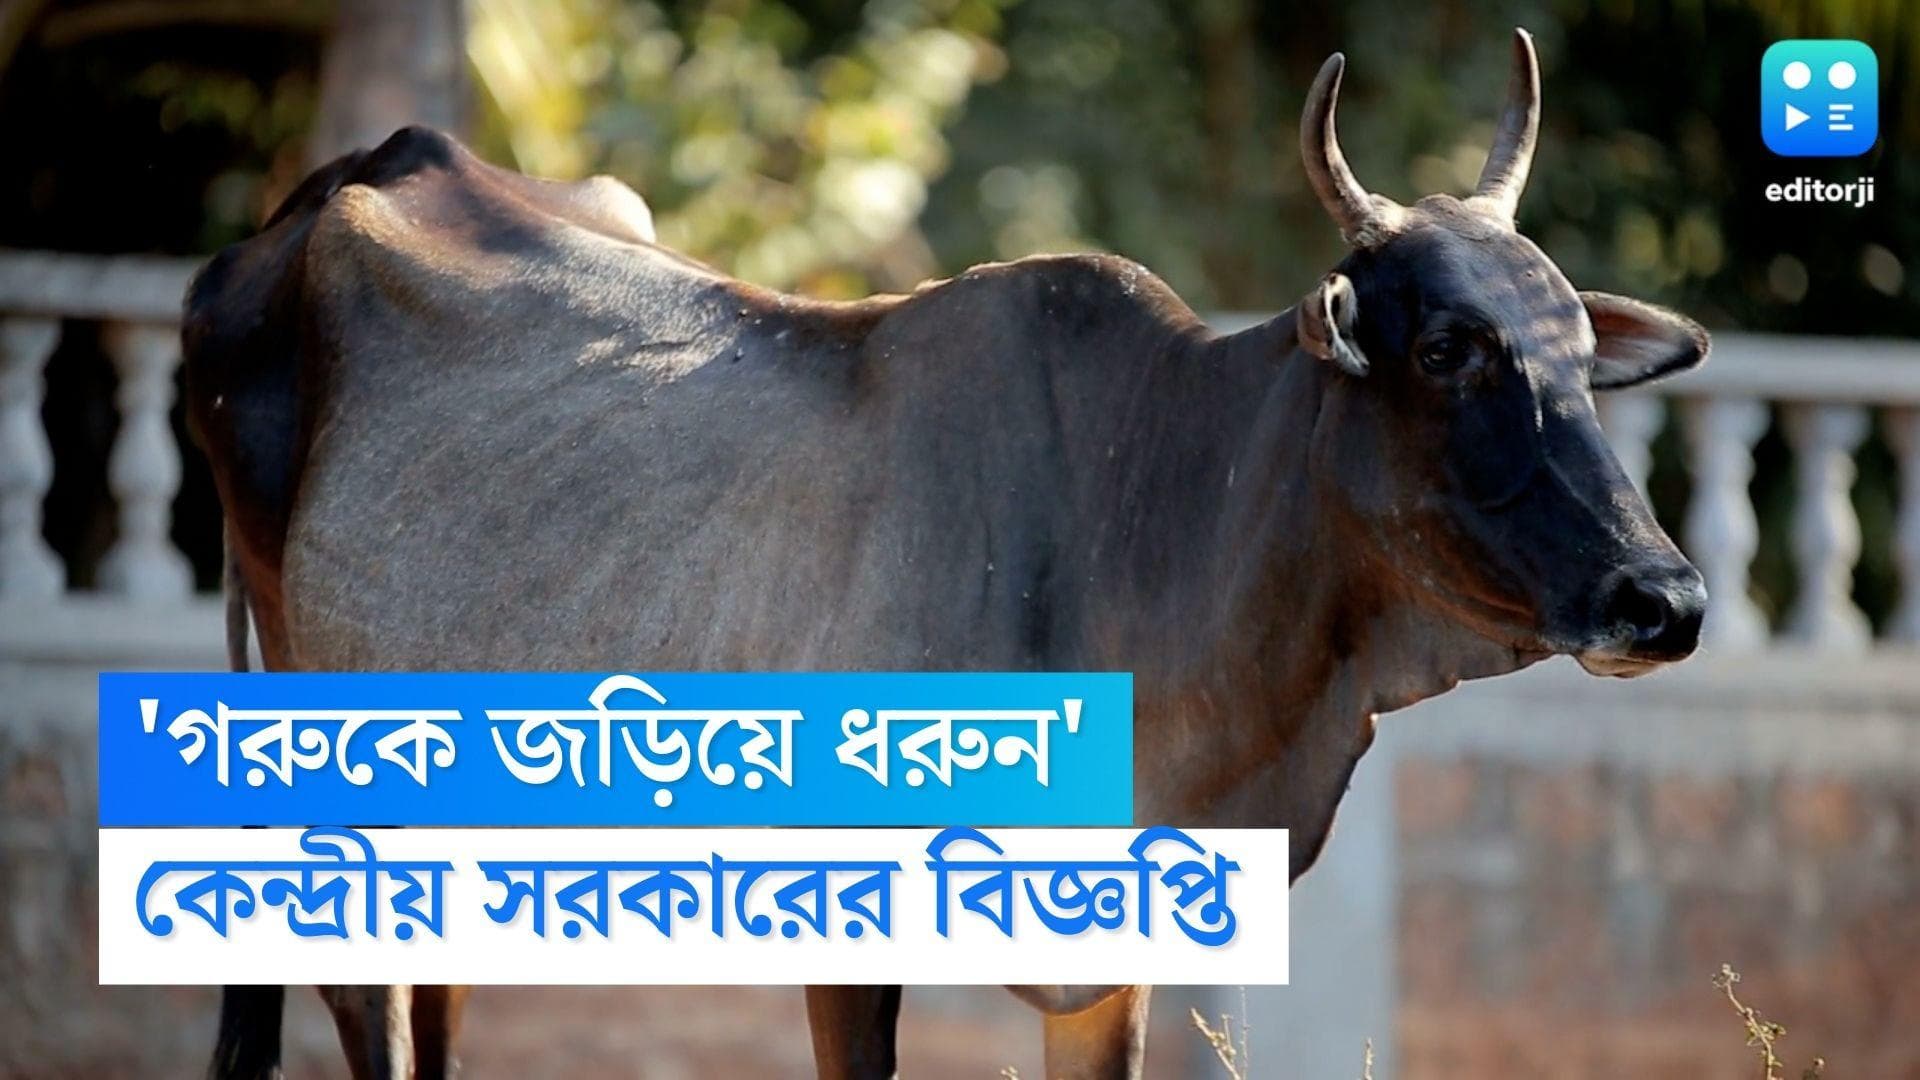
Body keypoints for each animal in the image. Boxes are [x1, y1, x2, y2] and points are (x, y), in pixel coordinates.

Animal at [182, 26, 1707, 1080]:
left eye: (1579, 345)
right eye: (1449, 348)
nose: (1667, 599)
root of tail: (343, 181)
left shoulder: (1110, 959)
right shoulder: (850, 920)